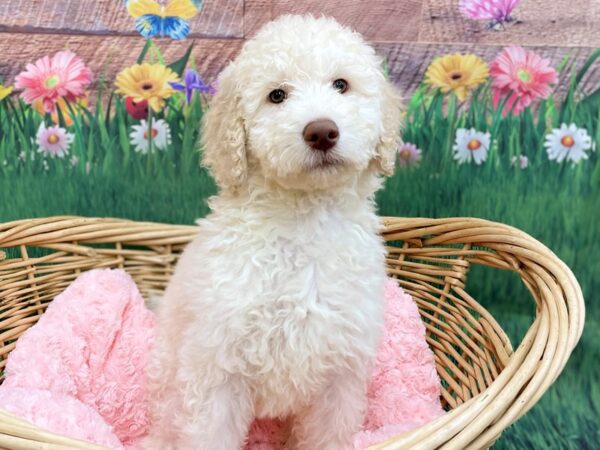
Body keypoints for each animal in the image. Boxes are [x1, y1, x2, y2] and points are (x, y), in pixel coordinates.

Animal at [144, 13, 404, 450]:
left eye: (341, 85)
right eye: (277, 95)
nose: (322, 131)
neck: (304, 220)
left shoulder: (340, 374)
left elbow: (328, 436)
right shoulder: (217, 369)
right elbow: (210, 433)